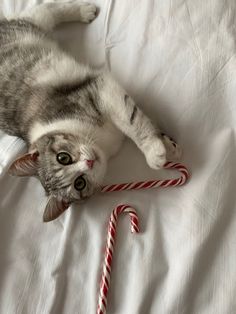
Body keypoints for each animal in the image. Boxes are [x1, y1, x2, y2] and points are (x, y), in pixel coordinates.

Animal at [0, 1, 181, 222]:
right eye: (80, 183)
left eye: (63, 157)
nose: (89, 162)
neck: (102, 143)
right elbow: (135, 118)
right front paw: (166, 146)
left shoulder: (99, 89)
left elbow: (132, 121)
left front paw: (156, 150)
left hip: (32, 25)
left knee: (43, 9)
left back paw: (85, 11)